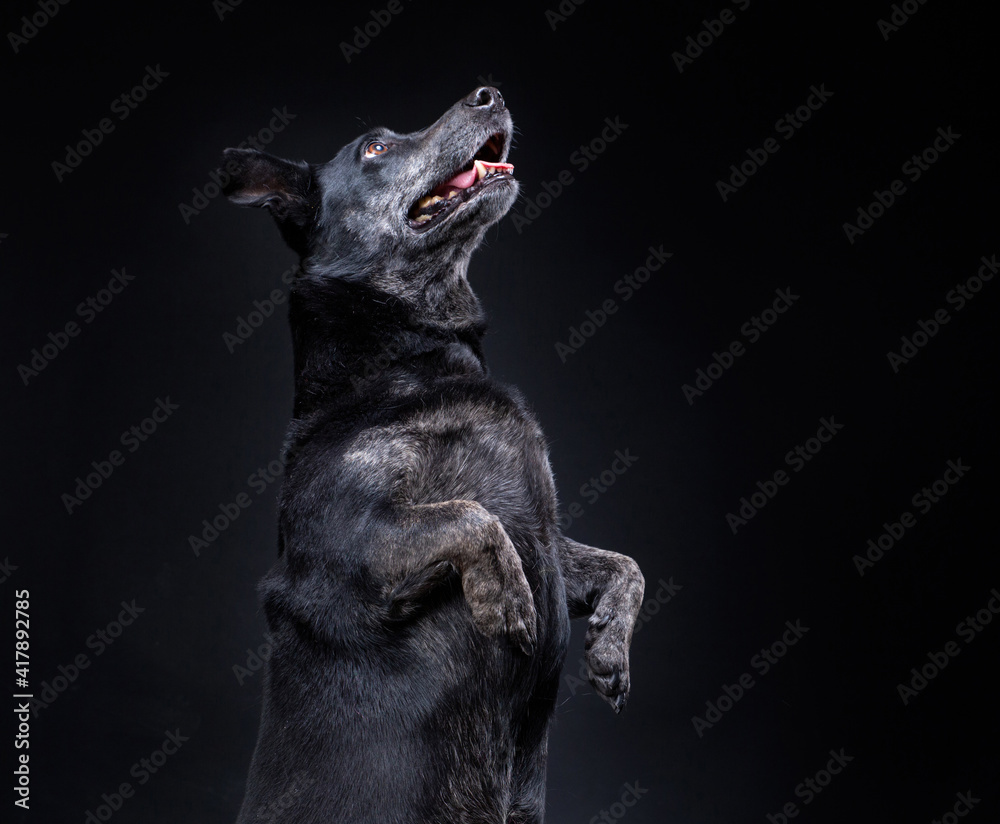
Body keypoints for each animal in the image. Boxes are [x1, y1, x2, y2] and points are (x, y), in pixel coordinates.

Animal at [225, 85, 648, 824]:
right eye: (373, 147)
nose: (489, 93)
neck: (409, 358)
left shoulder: (548, 536)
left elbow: (627, 566)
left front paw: (609, 648)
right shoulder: (344, 547)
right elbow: (471, 517)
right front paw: (505, 595)